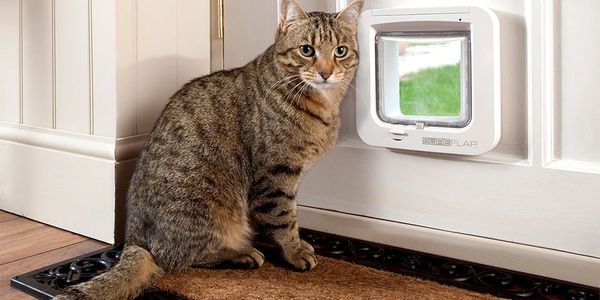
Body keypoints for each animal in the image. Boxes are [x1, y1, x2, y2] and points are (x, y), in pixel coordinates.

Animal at [57, 1, 360, 298]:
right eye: (307, 50)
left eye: (340, 51)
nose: (325, 73)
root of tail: (134, 240)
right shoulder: (275, 175)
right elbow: (283, 218)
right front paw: (294, 251)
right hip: (210, 205)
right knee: (178, 257)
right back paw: (241, 253)